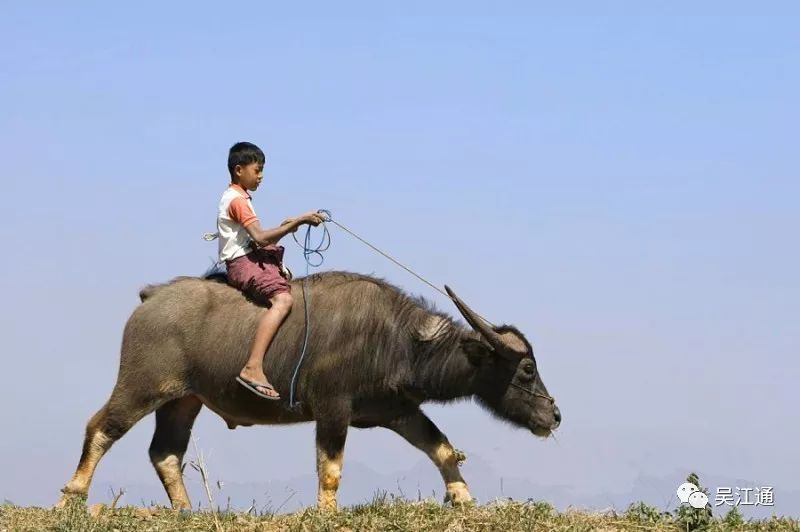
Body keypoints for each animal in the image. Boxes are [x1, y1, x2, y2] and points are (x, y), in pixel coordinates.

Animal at [56, 272, 560, 510]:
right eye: (527, 368)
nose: (554, 416)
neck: (396, 340)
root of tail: (152, 297)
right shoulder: (333, 409)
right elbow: (330, 470)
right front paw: (327, 511)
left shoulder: (397, 411)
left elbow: (442, 448)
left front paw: (464, 499)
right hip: (142, 385)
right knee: (102, 427)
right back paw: (72, 495)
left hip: (183, 400)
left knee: (165, 452)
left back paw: (186, 510)